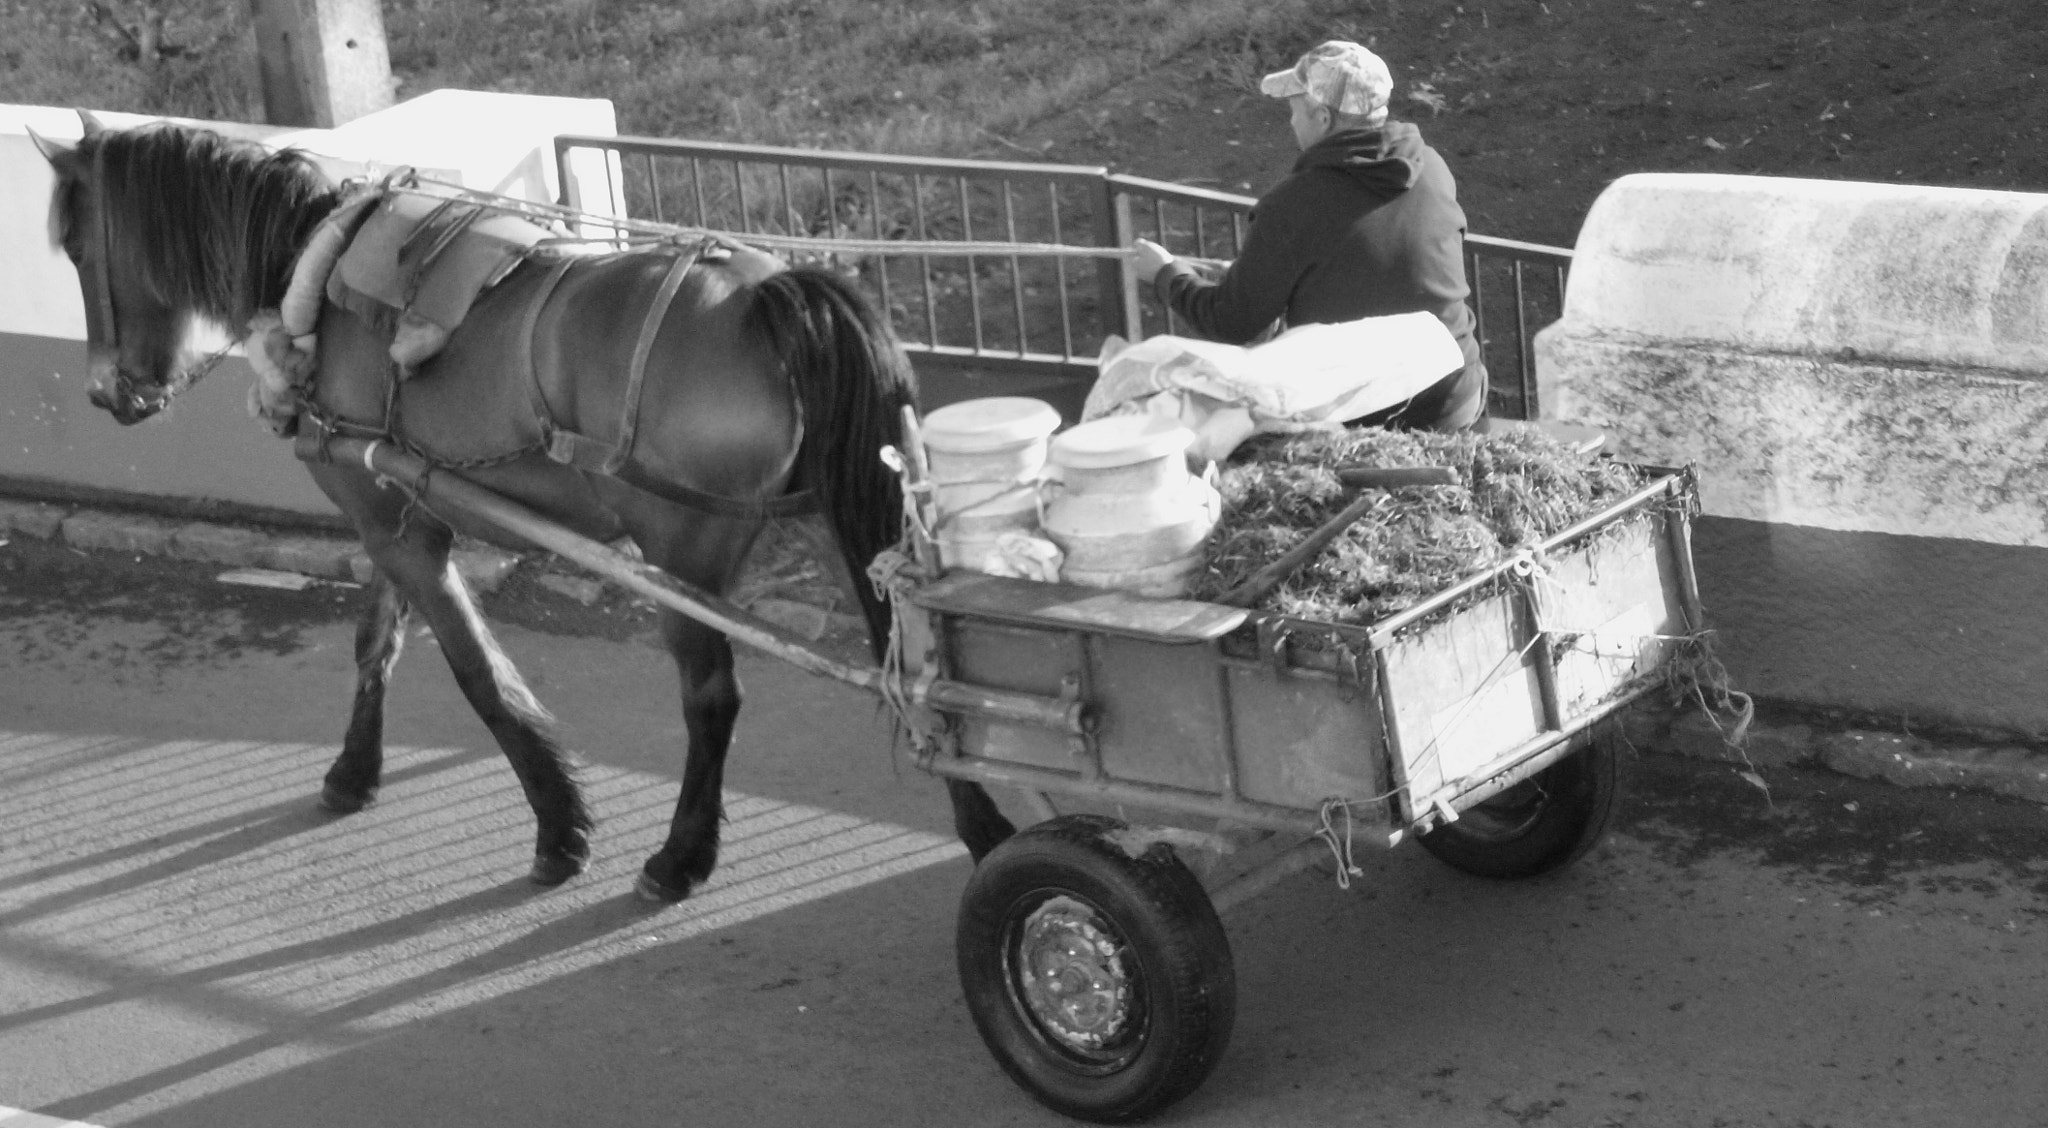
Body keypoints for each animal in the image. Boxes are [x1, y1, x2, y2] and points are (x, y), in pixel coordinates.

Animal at [28, 112, 1019, 900]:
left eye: (77, 247)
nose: (106, 394)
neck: (313, 266)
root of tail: (770, 292)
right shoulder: (393, 506)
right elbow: (377, 642)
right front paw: (353, 772)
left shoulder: (391, 522)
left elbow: (476, 672)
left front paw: (559, 827)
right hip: (851, 520)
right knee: (913, 664)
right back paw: (983, 829)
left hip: (681, 553)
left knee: (713, 698)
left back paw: (679, 858)